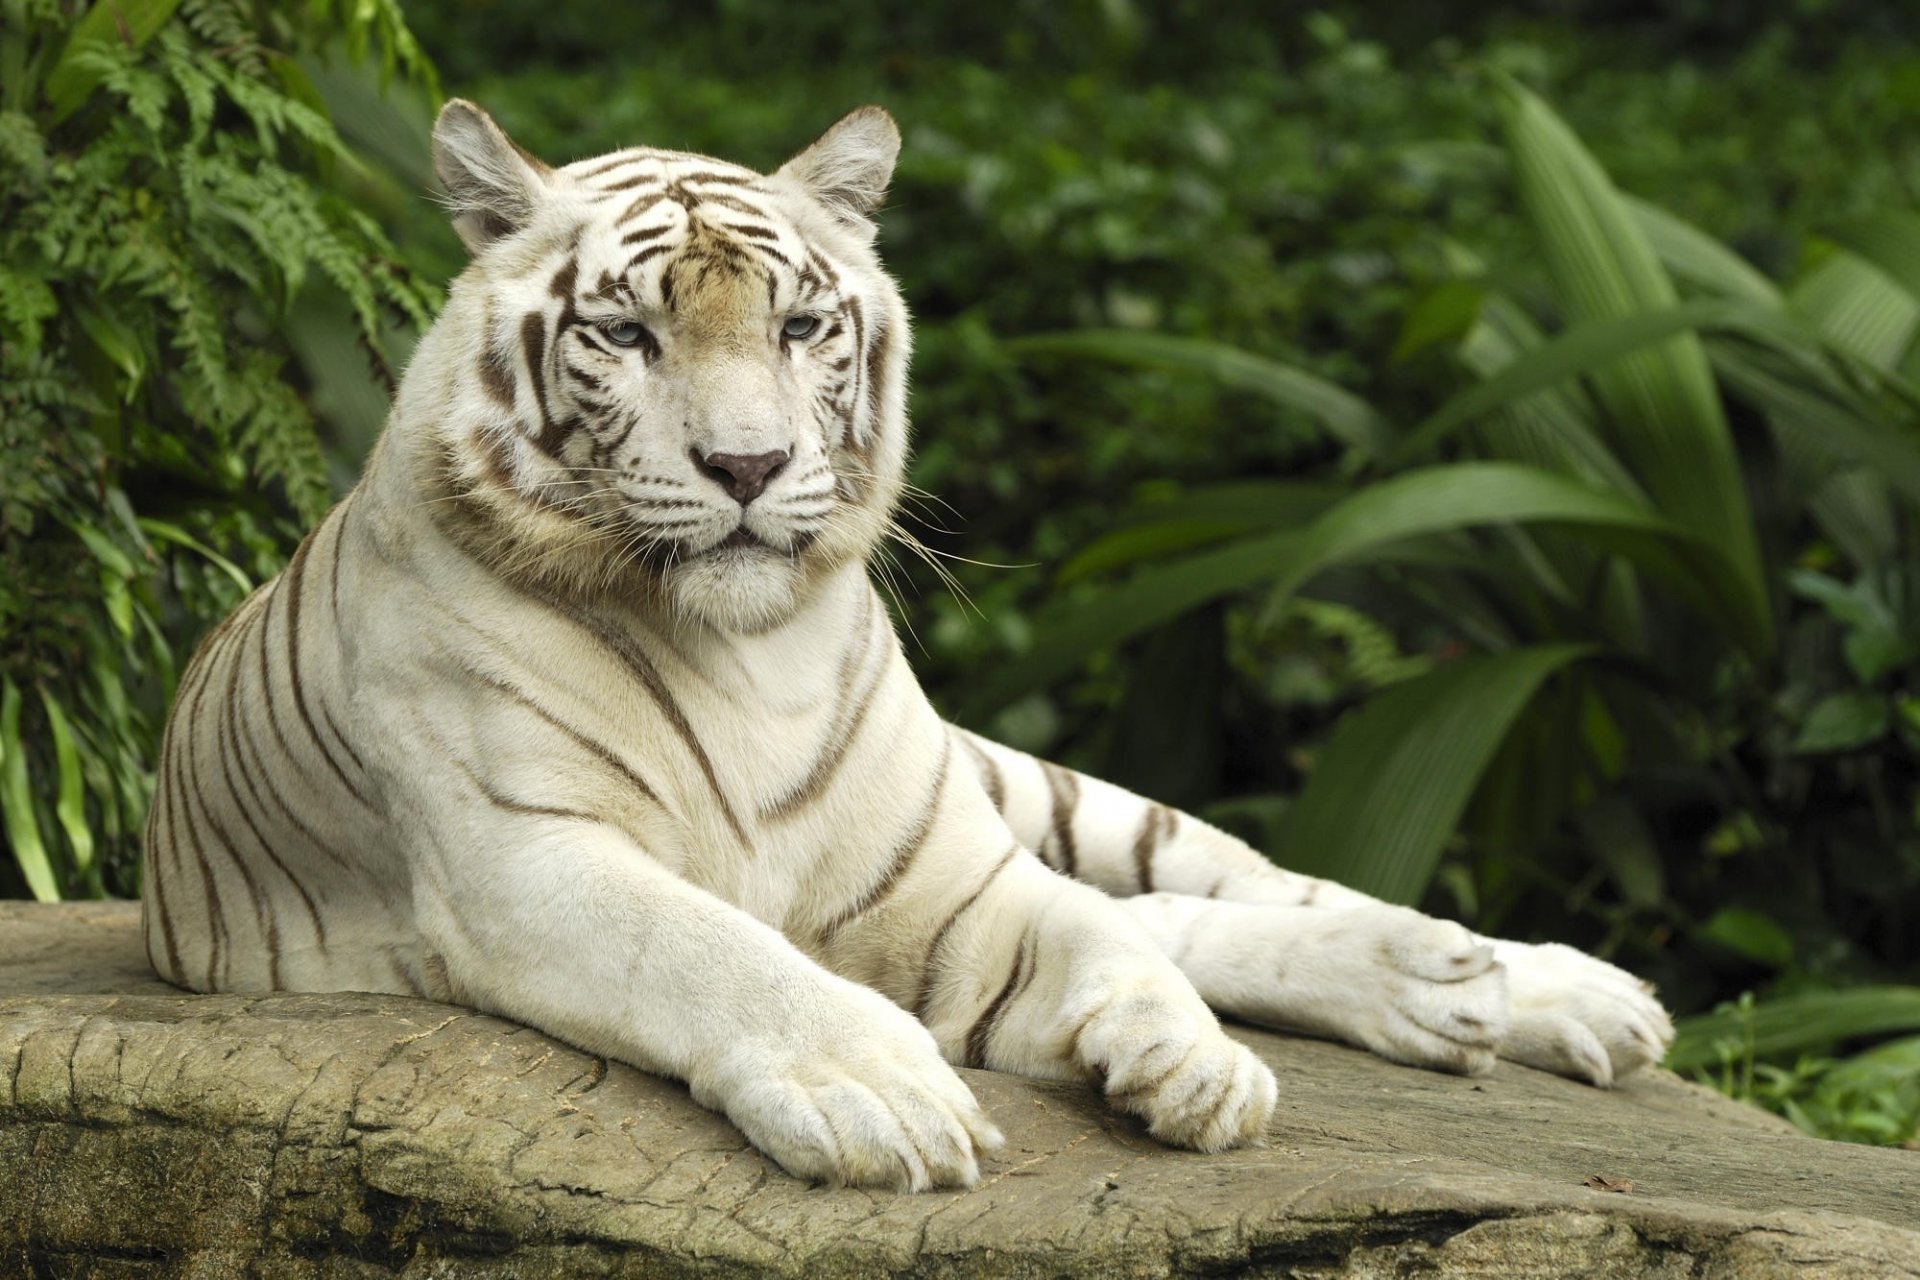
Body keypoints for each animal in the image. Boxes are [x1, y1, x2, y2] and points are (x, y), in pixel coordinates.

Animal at [142, 100, 1674, 1189]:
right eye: (627, 335)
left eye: (801, 324)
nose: (748, 465)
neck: (745, 652)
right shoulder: (525, 861)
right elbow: (712, 949)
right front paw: (883, 1094)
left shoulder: (949, 878)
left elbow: (1103, 938)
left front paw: (1191, 1065)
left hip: (1033, 789)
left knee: (1211, 889)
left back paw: (1516, 983)